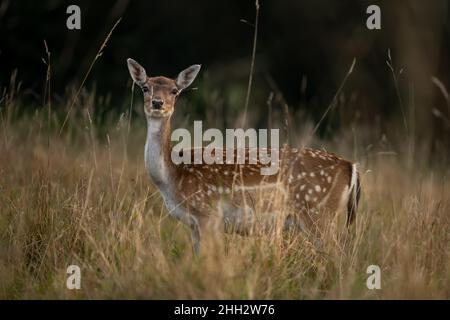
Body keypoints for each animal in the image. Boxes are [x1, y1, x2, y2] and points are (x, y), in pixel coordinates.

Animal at [126, 57, 362, 252]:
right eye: (145, 87)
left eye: (175, 90)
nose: (157, 103)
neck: (173, 177)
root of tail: (351, 166)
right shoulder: (194, 224)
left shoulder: (208, 213)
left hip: (318, 211)